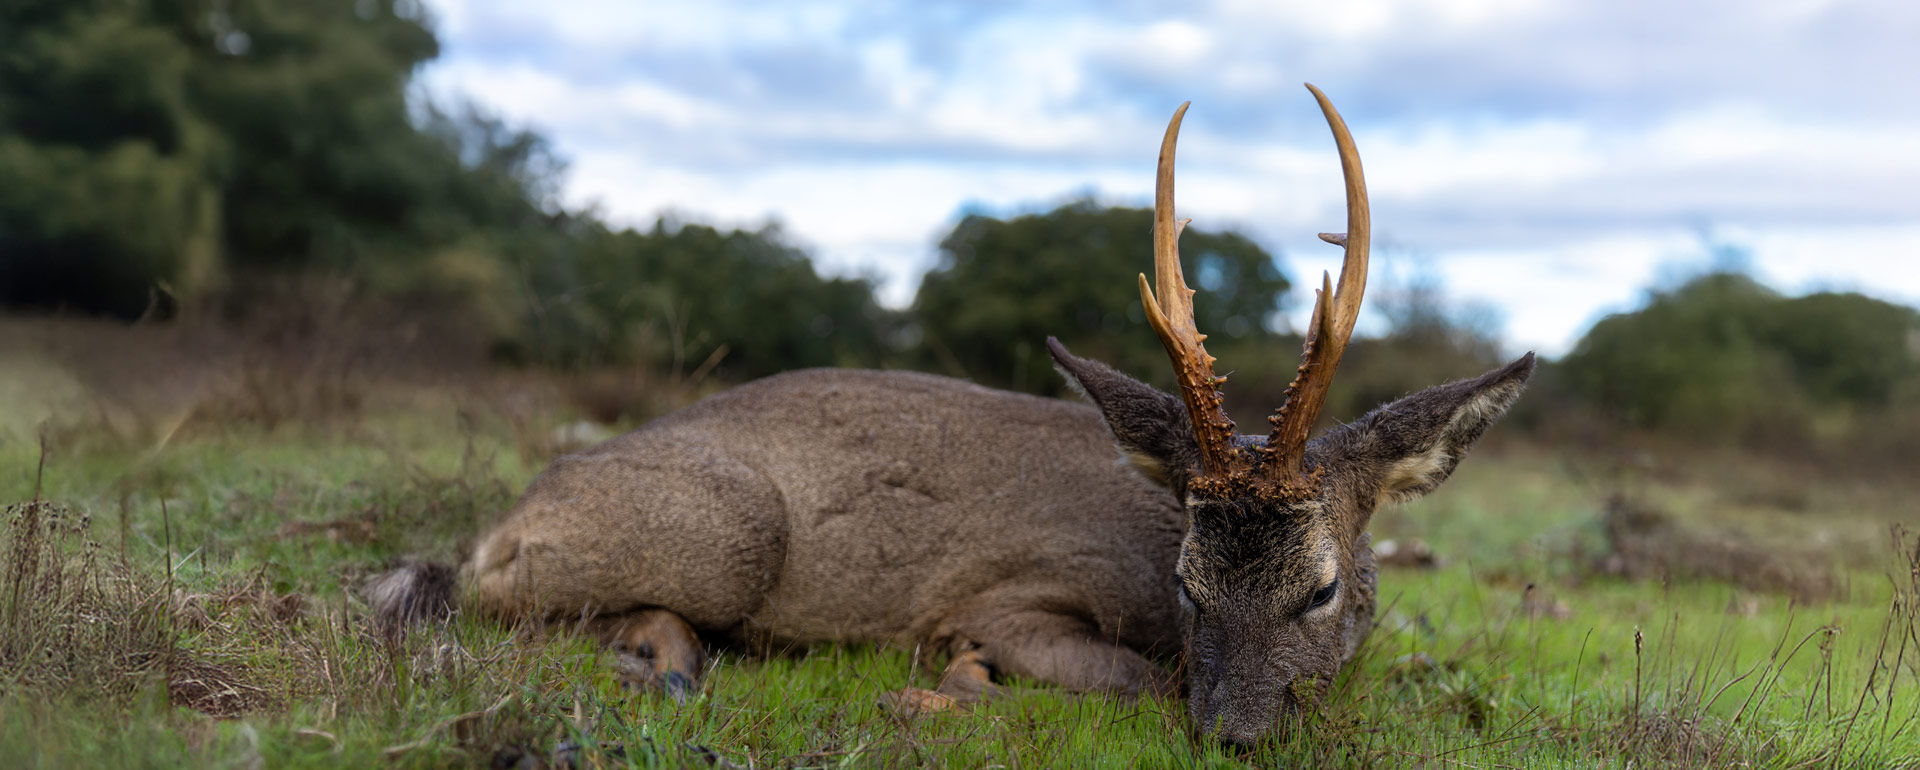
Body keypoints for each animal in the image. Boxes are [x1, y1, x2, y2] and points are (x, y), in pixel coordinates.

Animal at [369, 84, 1535, 746]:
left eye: (1323, 587)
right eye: (1185, 581)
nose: (1237, 738)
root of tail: (514, 510)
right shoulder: (1008, 593)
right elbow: (1133, 683)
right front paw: (952, 684)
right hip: (731, 532)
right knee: (478, 600)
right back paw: (661, 656)